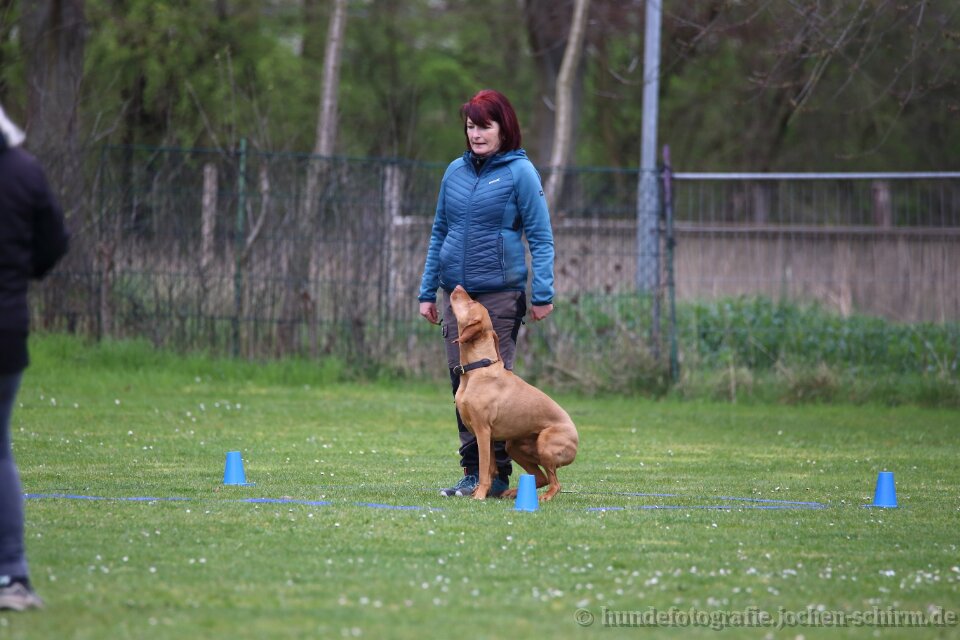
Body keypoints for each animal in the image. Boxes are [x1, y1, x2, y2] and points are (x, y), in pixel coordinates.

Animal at [449, 285, 579, 501]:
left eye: (472, 302)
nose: (458, 286)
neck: (478, 367)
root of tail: (577, 438)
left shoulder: (483, 431)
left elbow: (484, 469)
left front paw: (480, 495)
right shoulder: (489, 436)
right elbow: (491, 469)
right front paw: (480, 492)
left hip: (544, 445)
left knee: (555, 483)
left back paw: (545, 497)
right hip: (513, 445)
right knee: (540, 478)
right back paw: (512, 492)